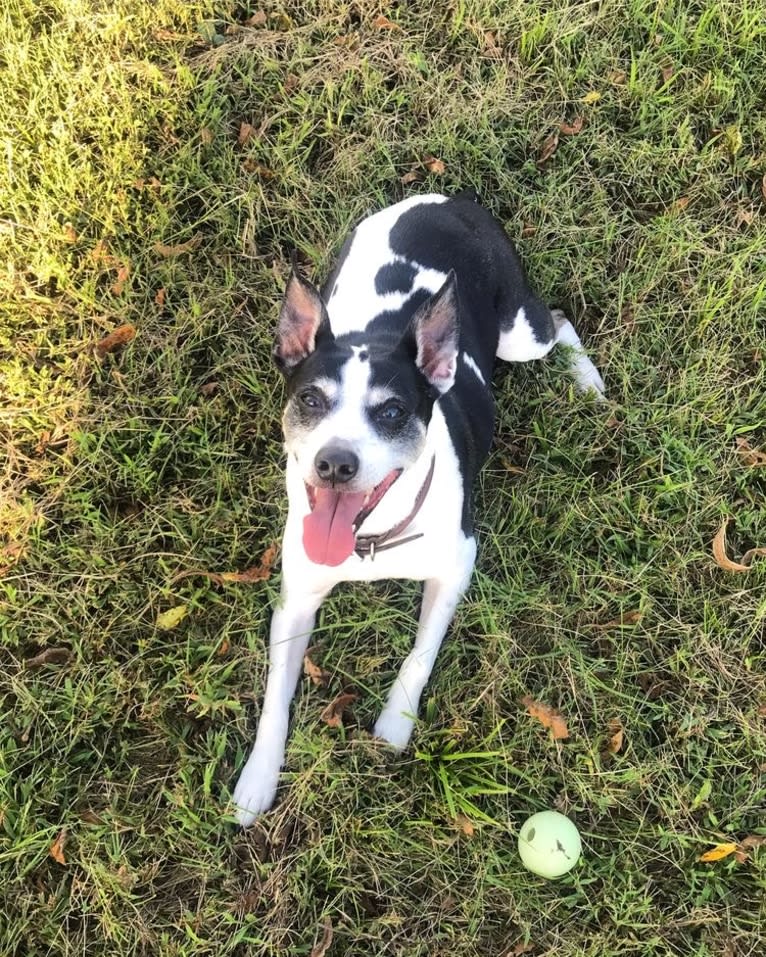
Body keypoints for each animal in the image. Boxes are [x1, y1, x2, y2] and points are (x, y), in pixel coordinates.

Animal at [231, 190, 604, 824]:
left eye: (392, 412)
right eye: (310, 400)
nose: (335, 463)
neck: (369, 536)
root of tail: (444, 198)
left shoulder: (455, 569)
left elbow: (420, 654)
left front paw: (393, 725)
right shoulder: (296, 599)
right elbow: (276, 695)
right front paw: (258, 778)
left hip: (519, 332)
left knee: (558, 318)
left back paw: (587, 378)